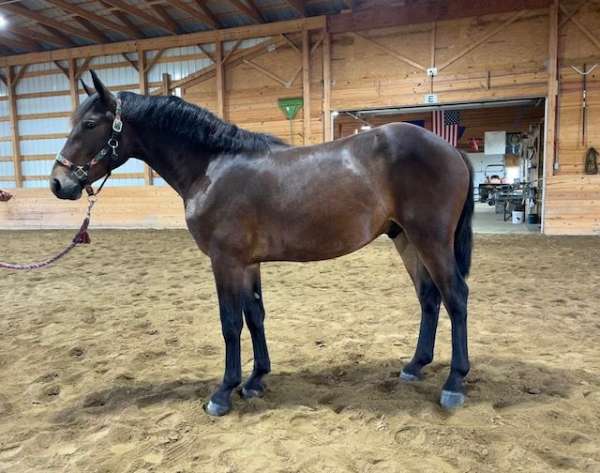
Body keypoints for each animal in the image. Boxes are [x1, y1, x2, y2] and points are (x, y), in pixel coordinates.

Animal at [50, 71, 474, 416]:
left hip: (430, 238)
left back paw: (454, 383)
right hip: (406, 239)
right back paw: (415, 366)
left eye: (89, 123)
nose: (58, 182)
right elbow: (254, 315)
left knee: (455, 296)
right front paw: (255, 380)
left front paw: (223, 392)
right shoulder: (247, 263)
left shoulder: (224, 260)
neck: (213, 167)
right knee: (429, 297)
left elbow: (230, 322)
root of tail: (451, 148)